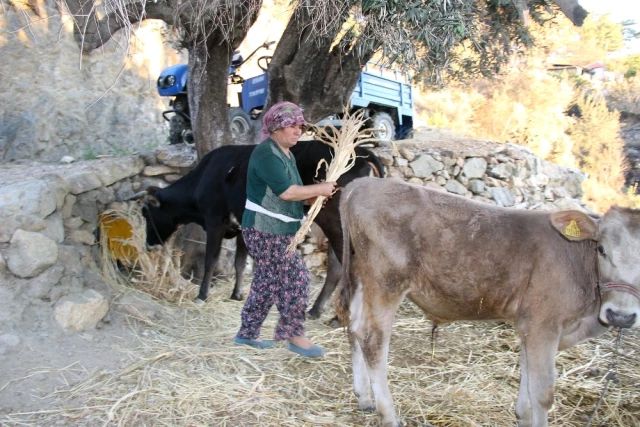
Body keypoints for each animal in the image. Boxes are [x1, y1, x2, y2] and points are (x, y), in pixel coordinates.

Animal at [135, 140, 382, 318]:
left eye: (146, 213)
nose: (149, 244)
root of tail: (363, 152)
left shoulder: (215, 221)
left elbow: (211, 260)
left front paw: (202, 295)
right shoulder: (243, 226)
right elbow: (240, 263)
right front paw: (237, 294)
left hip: (337, 226)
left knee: (353, 268)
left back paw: (341, 318)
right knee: (336, 268)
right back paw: (315, 311)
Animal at [336, 177, 640, 427]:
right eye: (601, 249)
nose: (621, 316)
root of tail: (363, 184)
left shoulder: (530, 326)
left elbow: (527, 383)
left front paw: (522, 417)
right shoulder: (544, 324)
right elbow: (542, 393)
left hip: (361, 276)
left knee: (354, 326)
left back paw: (364, 397)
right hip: (386, 281)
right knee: (373, 338)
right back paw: (388, 415)